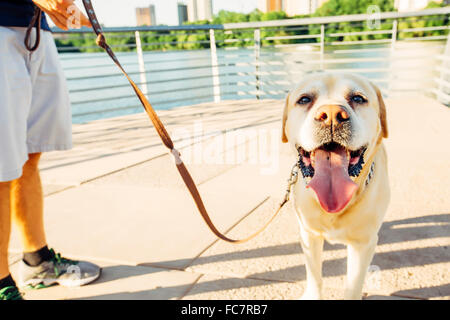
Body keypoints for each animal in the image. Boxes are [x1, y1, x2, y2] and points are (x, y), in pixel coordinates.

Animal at [282, 72, 390, 300]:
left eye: (358, 98)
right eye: (304, 99)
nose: (331, 115)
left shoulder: (362, 244)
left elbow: (353, 284)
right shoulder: (309, 235)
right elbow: (314, 275)